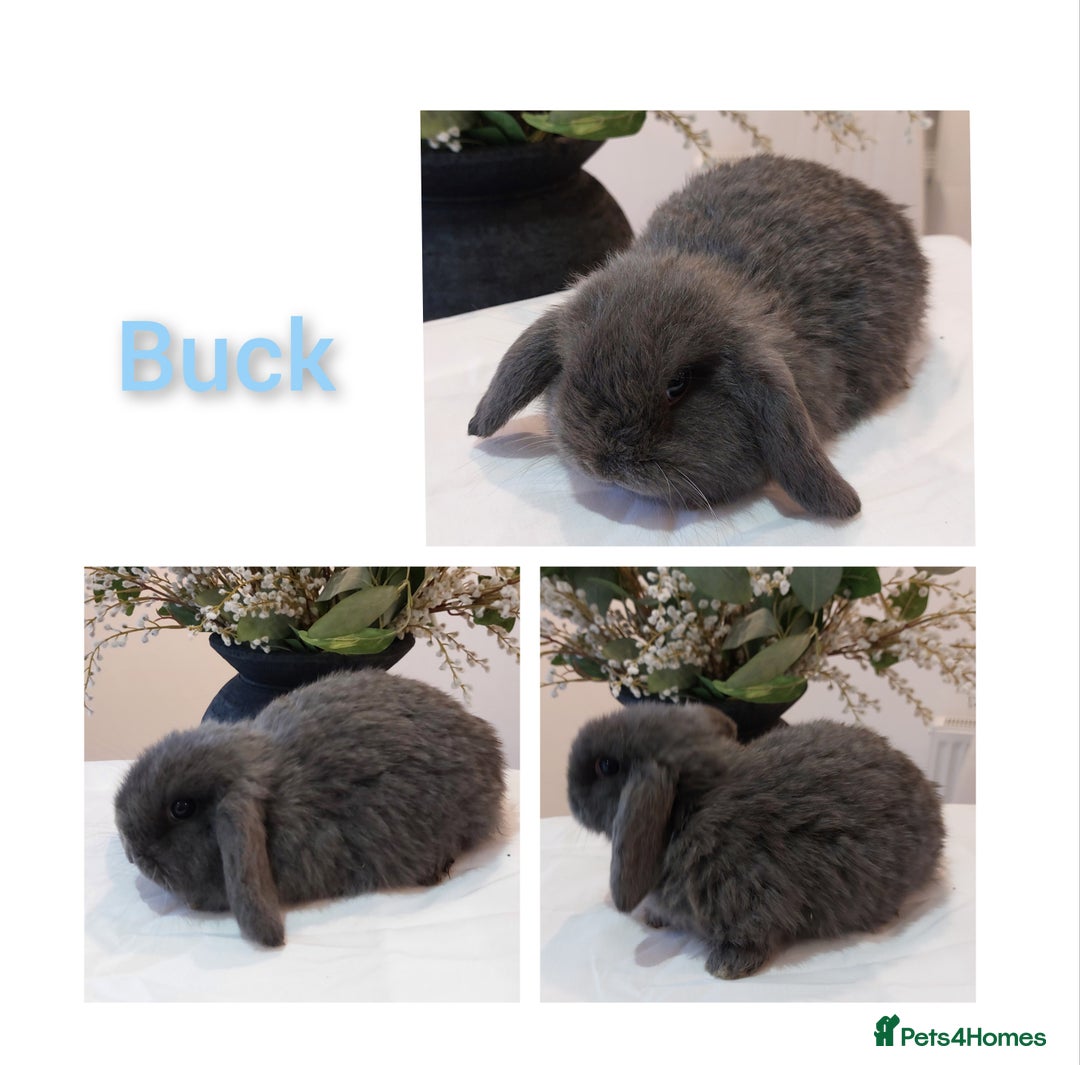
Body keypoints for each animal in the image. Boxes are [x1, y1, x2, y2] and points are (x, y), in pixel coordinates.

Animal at [567, 701, 944, 979]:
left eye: (606, 766)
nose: (570, 794)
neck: (691, 807)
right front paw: (655, 918)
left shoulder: (750, 895)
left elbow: (751, 932)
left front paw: (725, 967)